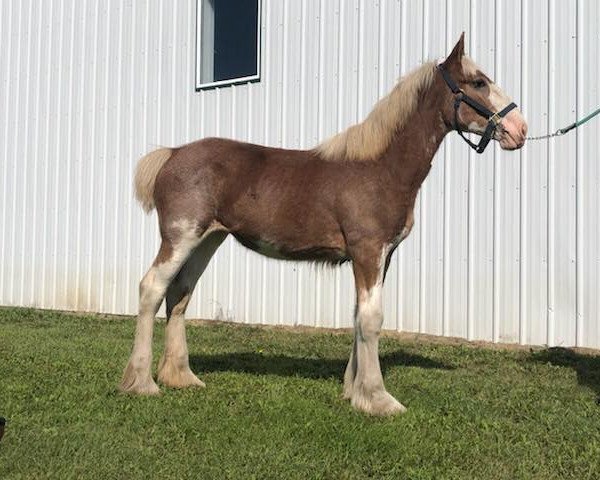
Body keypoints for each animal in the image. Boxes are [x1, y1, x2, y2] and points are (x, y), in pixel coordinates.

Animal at [120, 34, 524, 416]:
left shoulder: (381, 257)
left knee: (179, 294)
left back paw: (180, 377)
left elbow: (359, 317)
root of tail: (172, 154)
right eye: (478, 82)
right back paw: (141, 382)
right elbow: (372, 319)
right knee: (152, 288)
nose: (520, 128)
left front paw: (354, 390)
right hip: (180, 237)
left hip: (208, 239)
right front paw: (378, 399)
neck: (380, 169)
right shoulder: (368, 251)